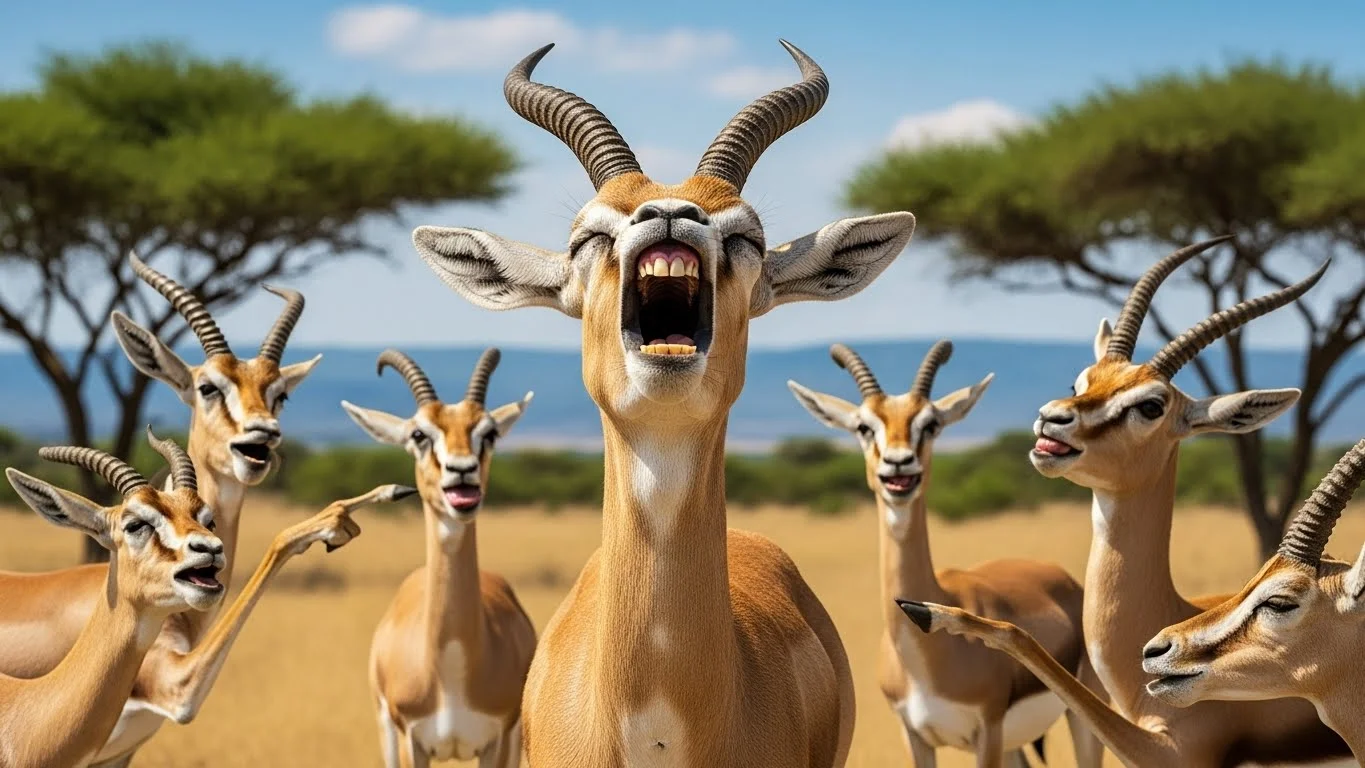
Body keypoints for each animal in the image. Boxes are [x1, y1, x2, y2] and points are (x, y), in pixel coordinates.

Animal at [341, 348, 537, 768]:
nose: (462, 472)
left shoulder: (496, 741)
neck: (449, 670)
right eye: (419, 434)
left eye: (489, 433)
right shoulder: (410, 740)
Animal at [788, 341, 1104, 768]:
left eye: (931, 424)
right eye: (863, 427)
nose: (899, 464)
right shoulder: (916, 737)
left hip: (1079, 716)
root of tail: (1063, 579)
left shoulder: (987, 732)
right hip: (1016, 744)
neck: (924, 656)